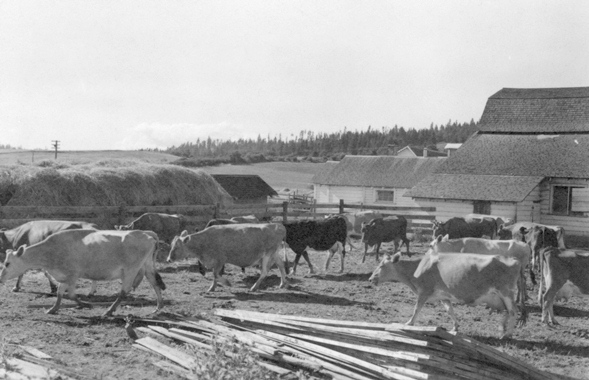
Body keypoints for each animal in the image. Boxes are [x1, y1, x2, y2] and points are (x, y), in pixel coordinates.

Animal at [0, 229, 164, 314]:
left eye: (7, 263)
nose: (1, 278)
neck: (51, 250)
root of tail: (146, 234)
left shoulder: (72, 276)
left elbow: (71, 295)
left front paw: (86, 304)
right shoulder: (64, 277)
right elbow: (60, 293)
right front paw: (53, 309)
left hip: (131, 270)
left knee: (124, 291)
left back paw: (109, 311)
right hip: (147, 266)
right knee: (155, 283)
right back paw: (158, 307)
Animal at [370, 252, 520, 338]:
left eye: (382, 265)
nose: (371, 278)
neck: (418, 268)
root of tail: (514, 260)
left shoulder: (424, 291)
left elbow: (416, 309)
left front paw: (409, 323)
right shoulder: (444, 297)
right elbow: (450, 311)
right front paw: (455, 327)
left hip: (506, 292)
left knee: (513, 311)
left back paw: (507, 334)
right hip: (500, 297)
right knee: (507, 312)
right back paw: (502, 330)